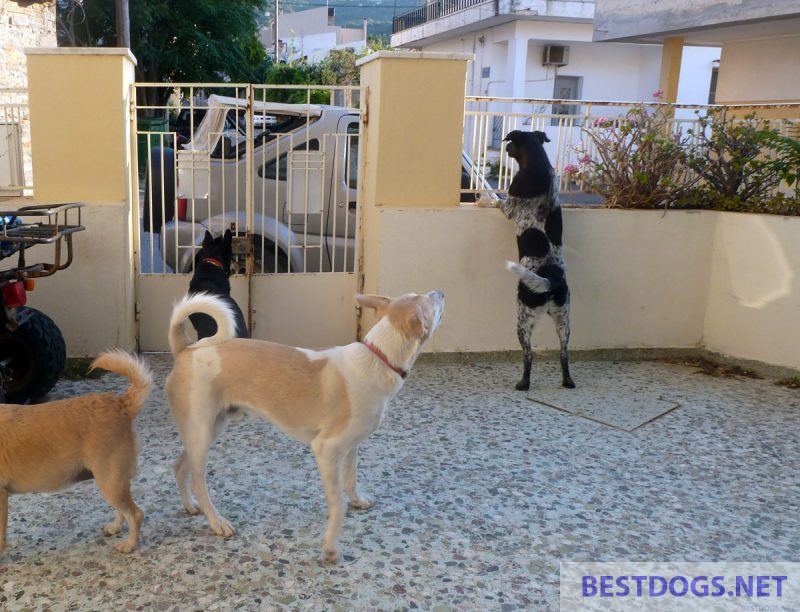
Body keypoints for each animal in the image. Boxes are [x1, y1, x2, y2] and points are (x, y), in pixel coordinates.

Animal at [166, 290, 446, 560]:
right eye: (428, 300)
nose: (441, 292)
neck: (378, 358)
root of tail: (186, 349)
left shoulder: (350, 447)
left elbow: (351, 480)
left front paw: (357, 501)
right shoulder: (326, 449)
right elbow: (338, 504)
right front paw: (331, 547)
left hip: (208, 430)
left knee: (180, 466)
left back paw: (190, 506)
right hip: (201, 434)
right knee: (198, 481)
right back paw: (216, 521)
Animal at [500, 131, 576, 390]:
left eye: (510, 143)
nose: (505, 149)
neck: (538, 161)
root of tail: (551, 279)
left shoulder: (509, 205)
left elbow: (499, 200)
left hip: (522, 319)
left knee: (529, 355)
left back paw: (523, 383)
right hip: (564, 320)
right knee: (564, 354)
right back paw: (567, 381)